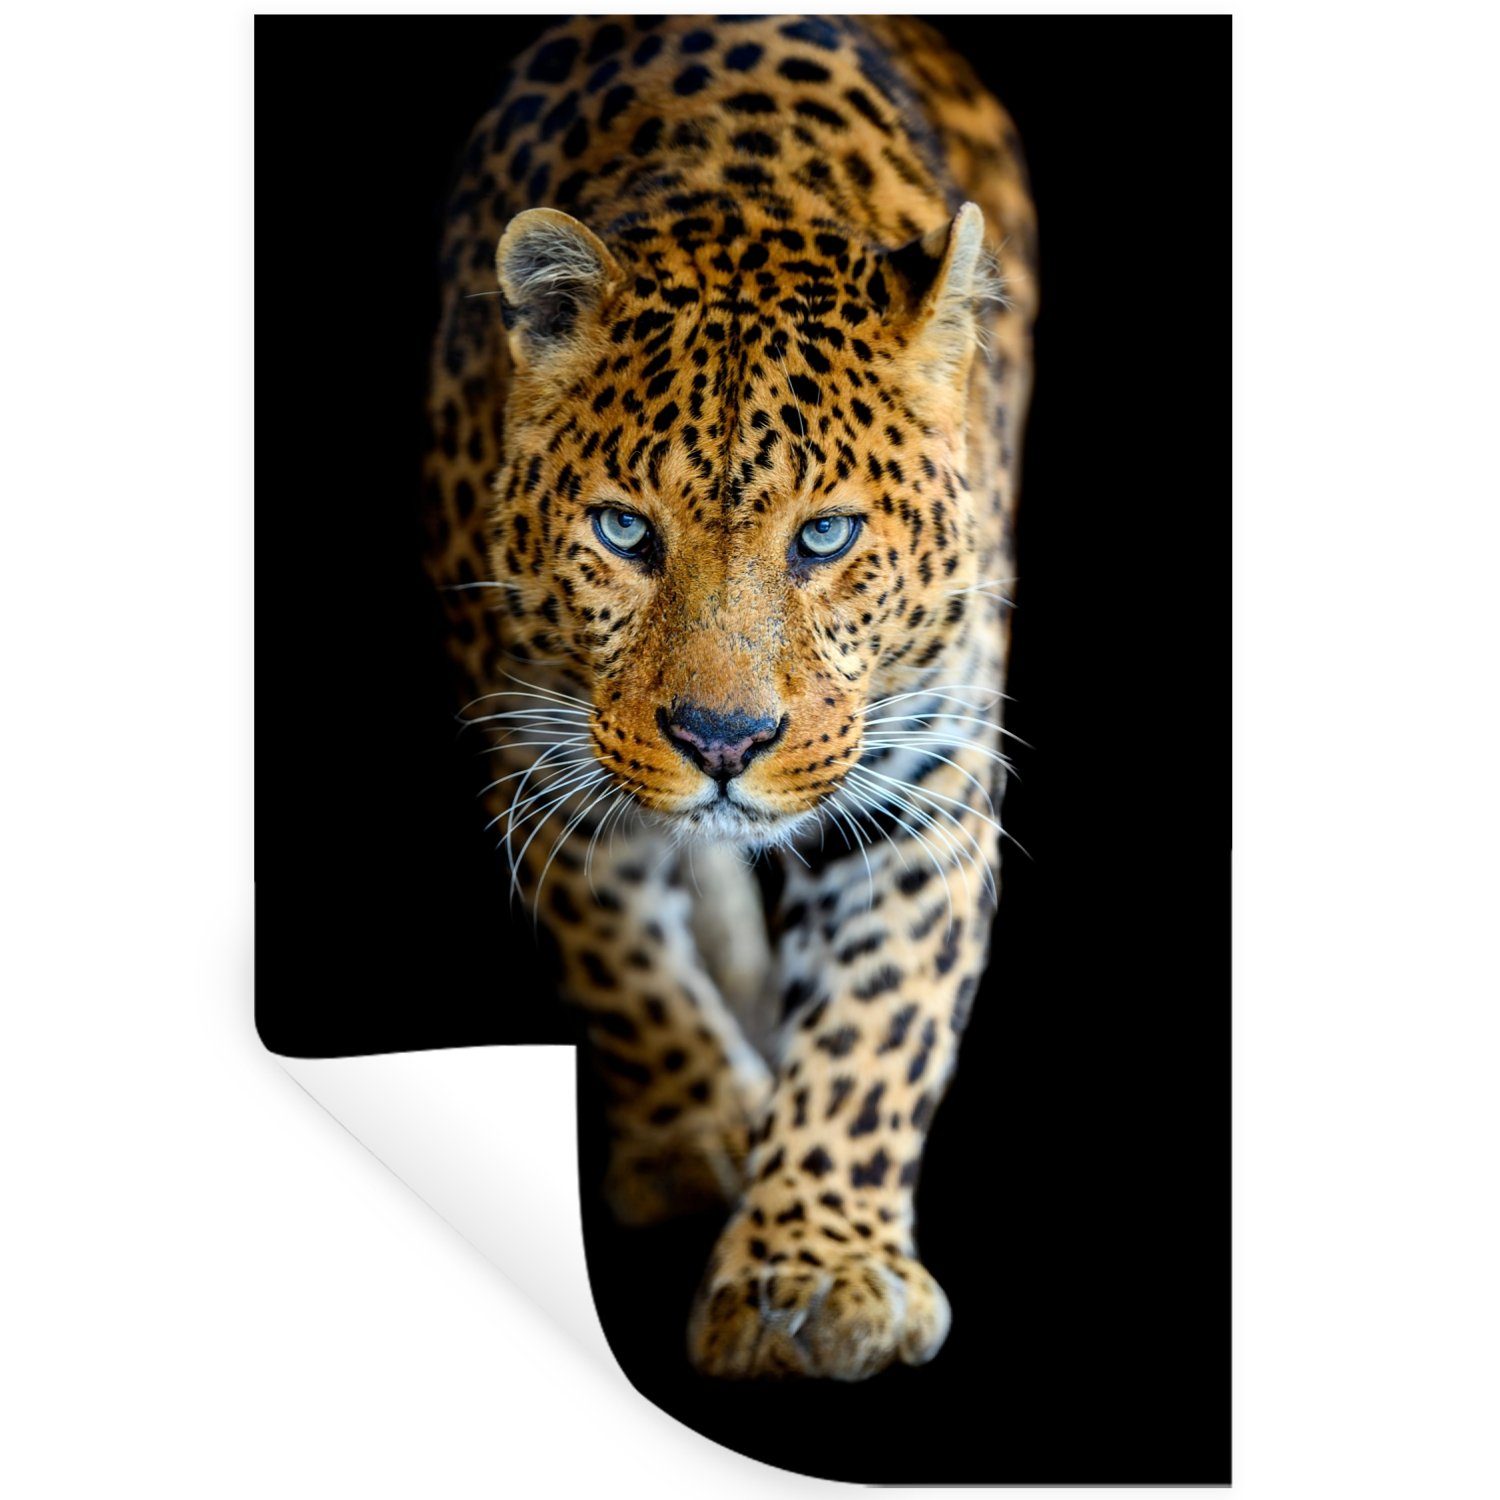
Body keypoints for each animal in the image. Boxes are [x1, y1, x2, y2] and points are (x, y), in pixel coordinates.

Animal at [422, 15, 1037, 1380]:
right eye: (622, 531)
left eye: (826, 537)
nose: (721, 741)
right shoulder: (536, 745)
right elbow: (619, 965)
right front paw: (697, 1130)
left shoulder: (927, 785)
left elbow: (877, 1032)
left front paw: (814, 1270)